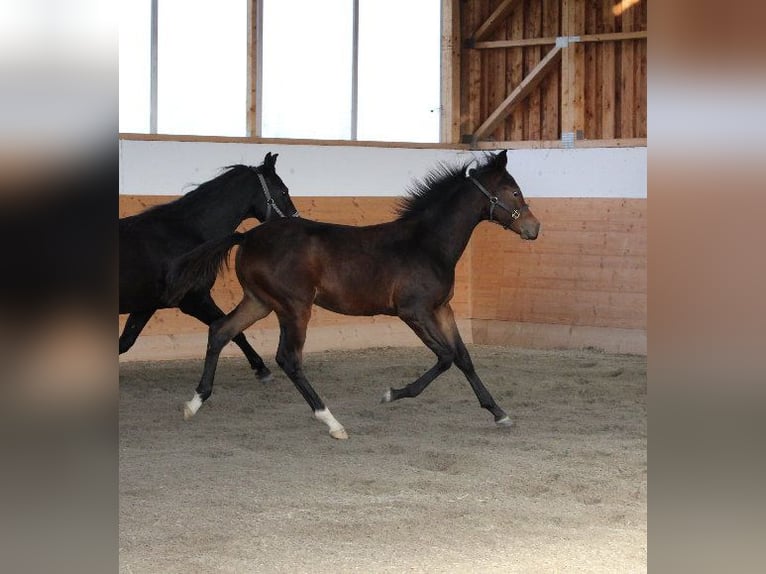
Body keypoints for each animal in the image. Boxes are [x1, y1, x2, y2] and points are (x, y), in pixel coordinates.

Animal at [121, 152, 300, 382]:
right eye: (284, 191)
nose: (296, 222)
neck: (187, 233)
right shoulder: (195, 300)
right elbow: (232, 331)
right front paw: (261, 368)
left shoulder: (146, 306)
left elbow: (125, 342)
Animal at [168, 151, 540, 438]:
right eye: (514, 192)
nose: (534, 229)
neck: (426, 243)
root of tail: (246, 237)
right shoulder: (414, 312)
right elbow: (446, 357)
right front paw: (392, 394)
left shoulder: (442, 309)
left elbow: (463, 357)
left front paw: (499, 412)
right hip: (294, 307)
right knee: (288, 358)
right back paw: (332, 422)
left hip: (259, 302)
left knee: (221, 332)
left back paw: (193, 403)